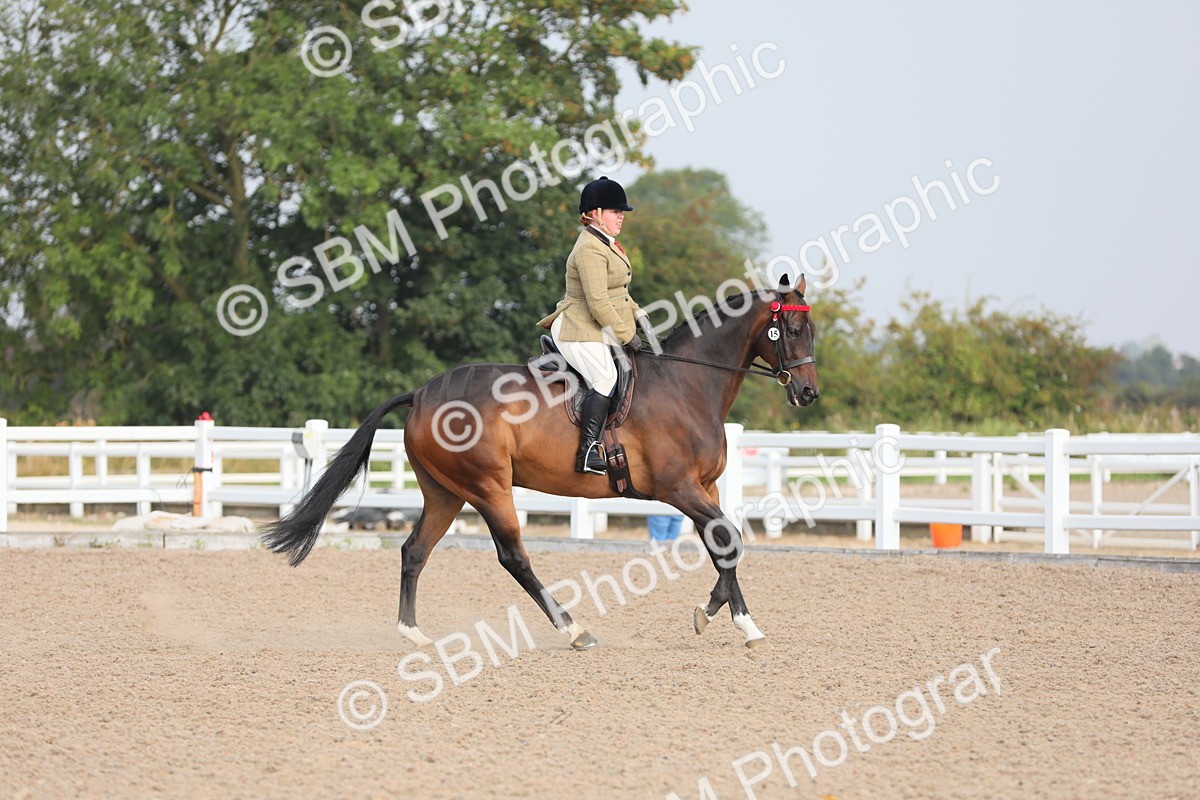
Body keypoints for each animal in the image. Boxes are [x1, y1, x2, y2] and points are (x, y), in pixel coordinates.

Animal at [263, 275, 819, 650]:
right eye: (791, 328)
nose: (809, 394)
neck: (688, 384)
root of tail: (421, 393)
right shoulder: (677, 489)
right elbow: (731, 539)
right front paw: (710, 613)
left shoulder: (706, 488)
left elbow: (723, 544)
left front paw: (743, 623)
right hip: (489, 487)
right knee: (514, 557)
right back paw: (575, 630)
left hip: (445, 492)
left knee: (414, 551)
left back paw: (414, 634)